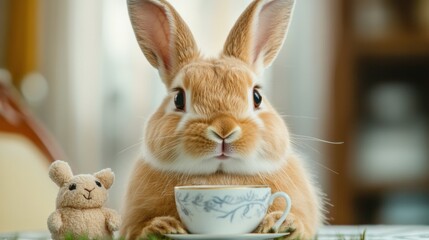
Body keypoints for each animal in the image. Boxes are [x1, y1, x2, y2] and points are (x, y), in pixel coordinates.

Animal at [120, 0, 320, 239]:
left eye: (257, 97)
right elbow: (137, 229)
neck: (219, 177)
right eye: (178, 98)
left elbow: (303, 224)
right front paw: (161, 227)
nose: (224, 130)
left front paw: (283, 225)